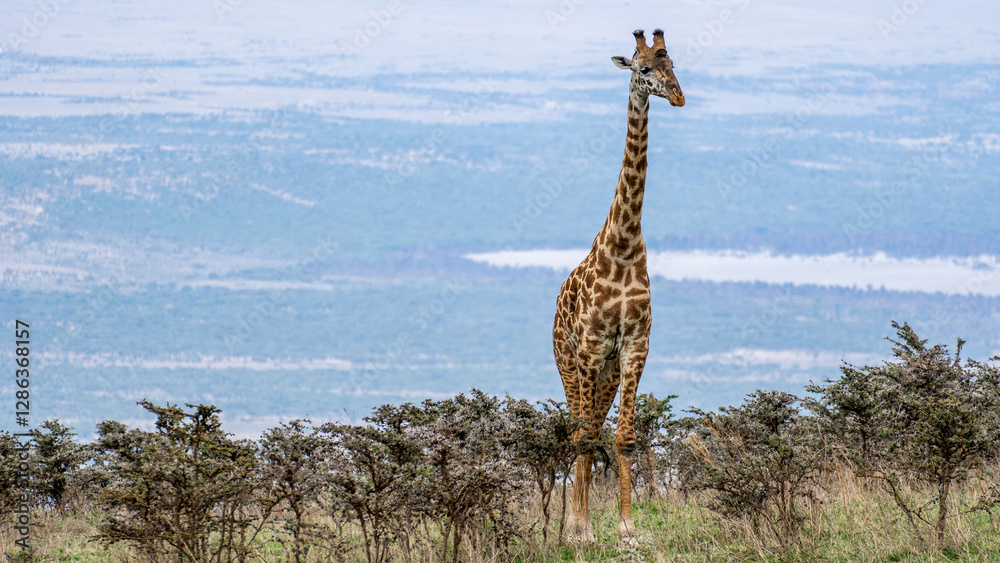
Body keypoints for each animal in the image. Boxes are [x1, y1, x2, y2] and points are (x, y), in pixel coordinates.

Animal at [552, 28, 684, 543]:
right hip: (569, 362)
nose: (678, 97)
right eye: (643, 68)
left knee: (591, 427)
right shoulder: (591, 348)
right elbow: (588, 435)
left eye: (673, 64)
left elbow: (624, 435)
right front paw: (584, 530)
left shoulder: (634, 345)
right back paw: (573, 522)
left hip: (606, 372)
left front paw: (628, 526)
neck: (624, 245)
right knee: (577, 429)